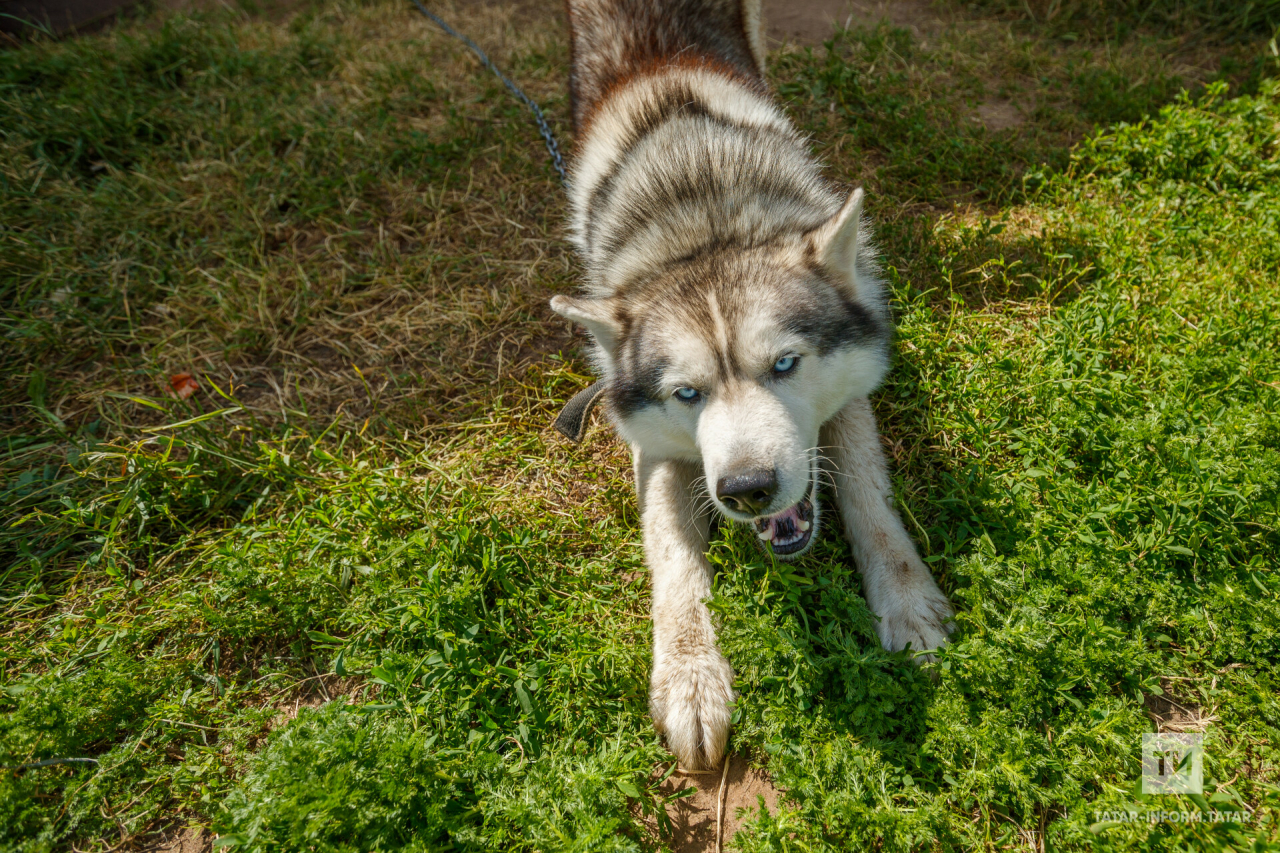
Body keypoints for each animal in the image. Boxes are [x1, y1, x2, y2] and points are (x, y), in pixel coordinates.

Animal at [545, 0, 957, 768]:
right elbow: (674, 560)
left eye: (785, 364)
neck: (705, 224)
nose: (747, 489)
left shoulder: (849, 397)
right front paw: (690, 678)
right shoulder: (658, 449)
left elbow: (868, 496)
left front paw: (906, 599)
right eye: (688, 394)